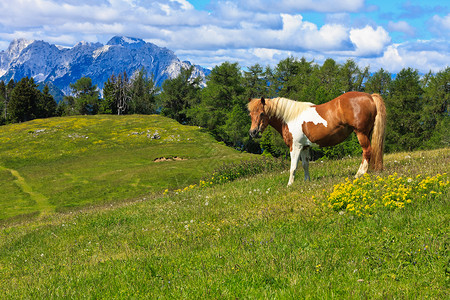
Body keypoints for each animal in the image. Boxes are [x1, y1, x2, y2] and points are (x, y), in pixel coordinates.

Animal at [248, 91, 384, 185]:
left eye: (261, 113)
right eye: (250, 114)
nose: (253, 132)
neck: (290, 117)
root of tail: (370, 96)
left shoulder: (295, 147)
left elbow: (293, 167)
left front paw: (289, 184)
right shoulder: (304, 147)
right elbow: (305, 165)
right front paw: (306, 181)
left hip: (361, 133)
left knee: (367, 152)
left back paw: (359, 174)